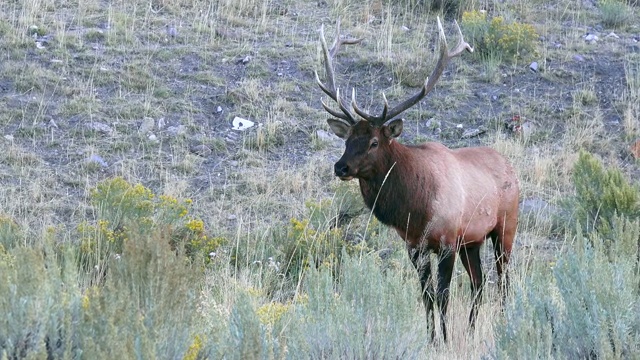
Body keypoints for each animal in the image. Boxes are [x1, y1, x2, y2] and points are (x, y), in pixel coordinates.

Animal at [316, 18, 520, 342]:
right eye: (347, 139)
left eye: (374, 142)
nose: (340, 167)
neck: (414, 208)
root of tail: (510, 166)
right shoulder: (414, 246)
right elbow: (426, 295)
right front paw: (432, 339)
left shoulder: (447, 241)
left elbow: (443, 295)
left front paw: (446, 339)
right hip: (472, 241)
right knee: (479, 283)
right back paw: (471, 331)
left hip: (505, 226)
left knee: (503, 280)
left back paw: (501, 325)